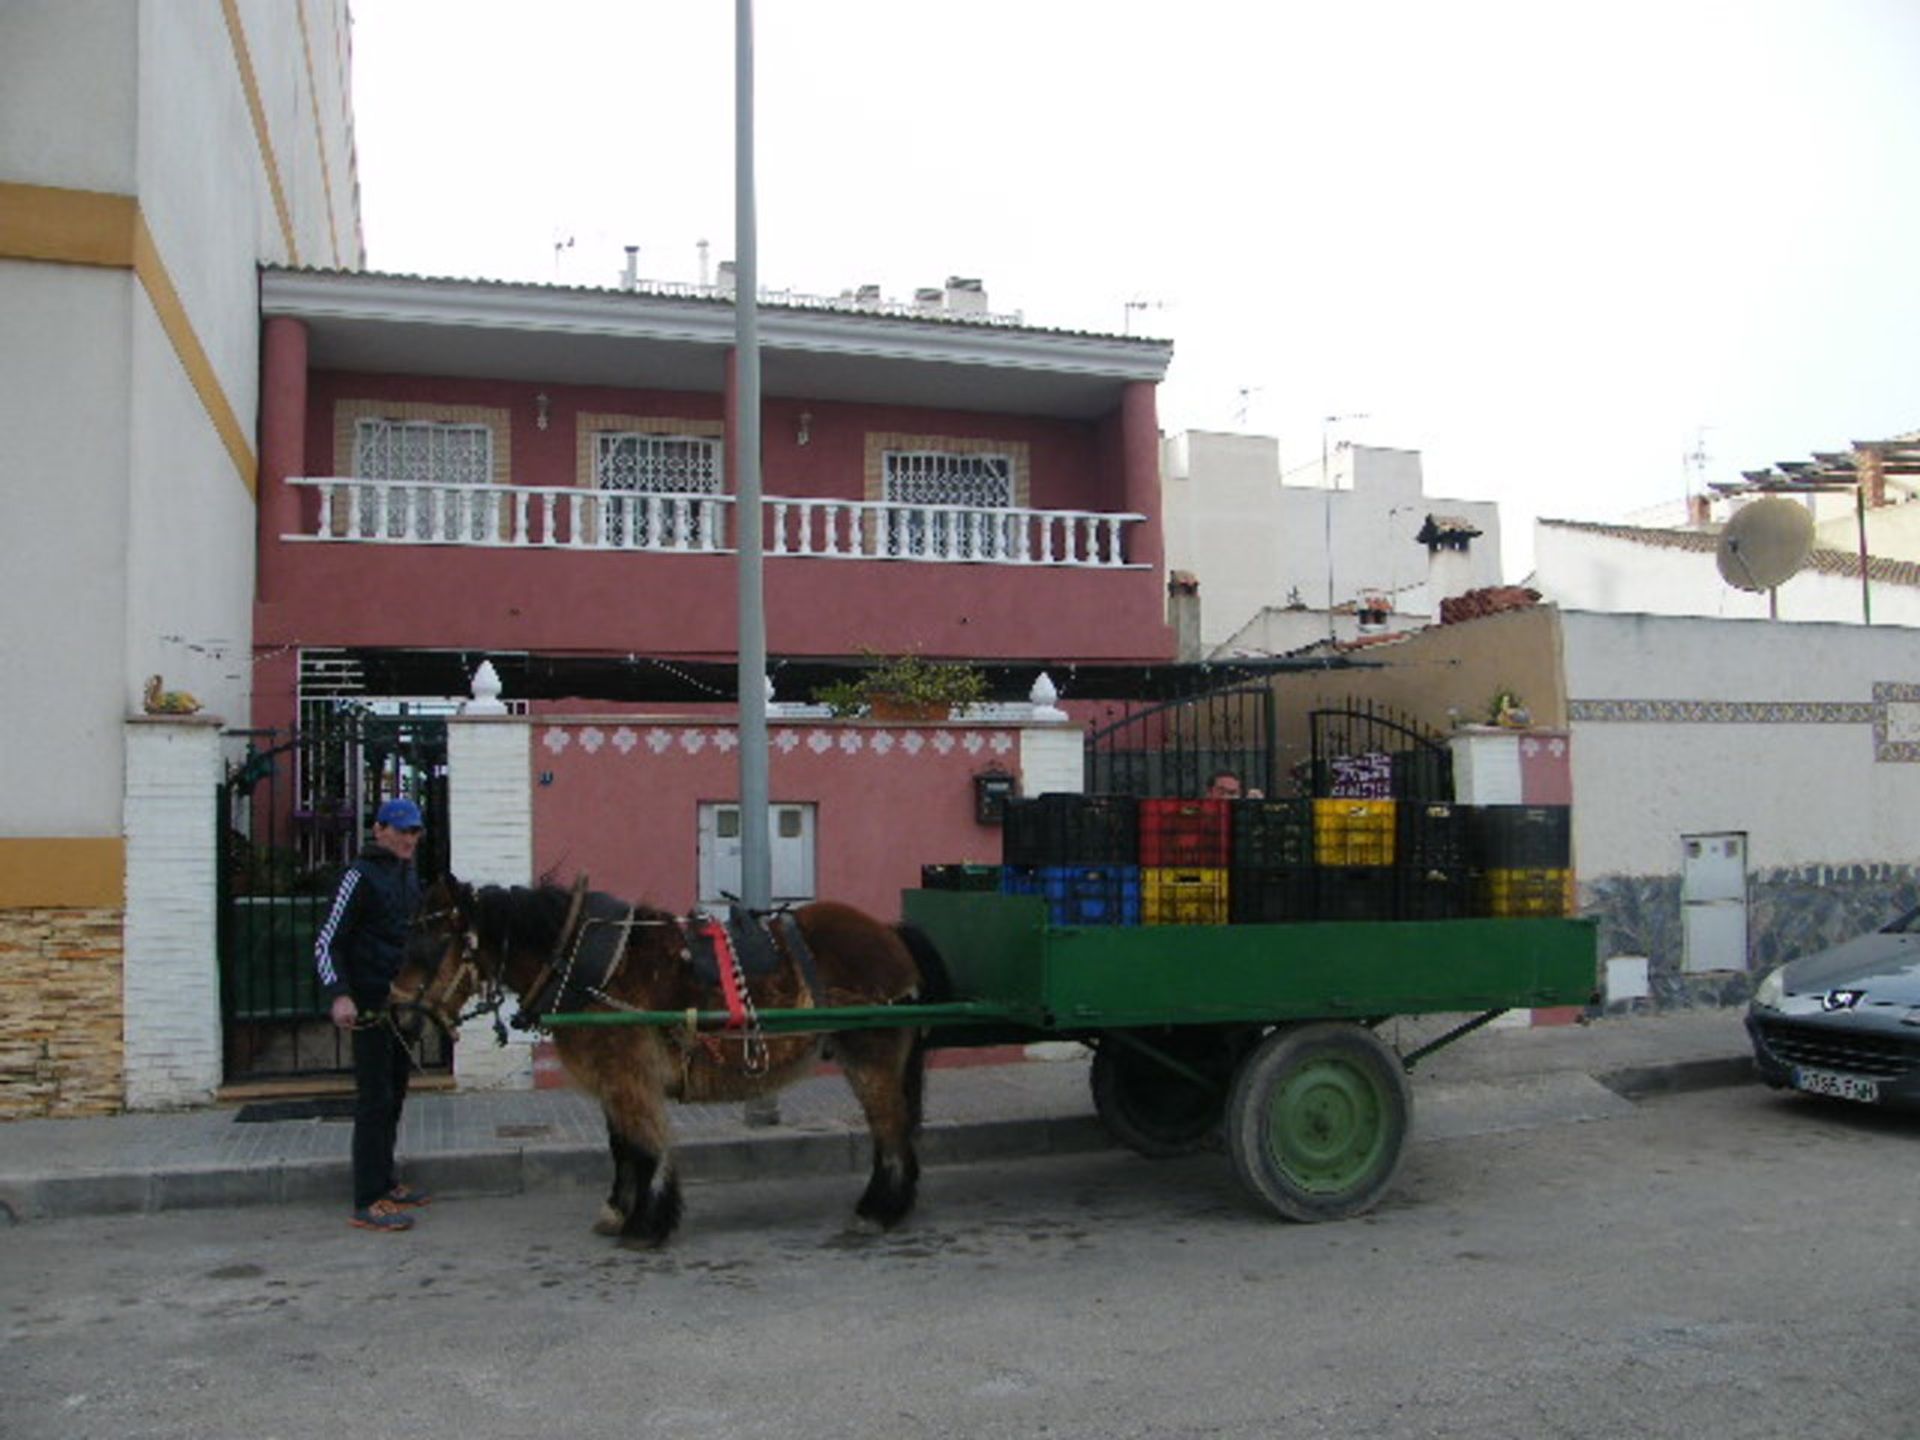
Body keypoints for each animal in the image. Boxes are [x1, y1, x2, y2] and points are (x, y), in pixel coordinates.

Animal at [395, 879, 952, 1251]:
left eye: (431, 944)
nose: (396, 1012)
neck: (590, 965)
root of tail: (889, 932)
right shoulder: (614, 1080)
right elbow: (622, 1147)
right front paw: (618, 1211)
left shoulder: (629, 1077)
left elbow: (646, 1147)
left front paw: (648, 1221)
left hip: (871, 1055)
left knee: (890, 1128)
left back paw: (877, 1209)